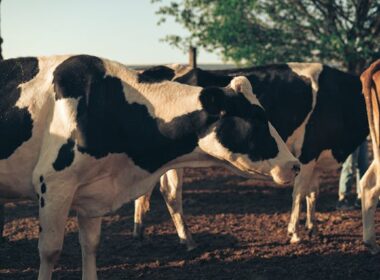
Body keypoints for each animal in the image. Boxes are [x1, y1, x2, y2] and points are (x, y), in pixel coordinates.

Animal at [0, 54, 298, 278]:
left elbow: (90, 246)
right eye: (257, 119)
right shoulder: (54, 184)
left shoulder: (93, 193)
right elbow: (50, 250)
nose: (294, 165)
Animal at [134, 62, 368, 248]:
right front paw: (294, 233)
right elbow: (299, 193)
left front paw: (313, 228)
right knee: (171, 192)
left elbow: (313, 193)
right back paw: (187, 240)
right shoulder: (307, 154)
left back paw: (139, 232)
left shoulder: (318, 158)